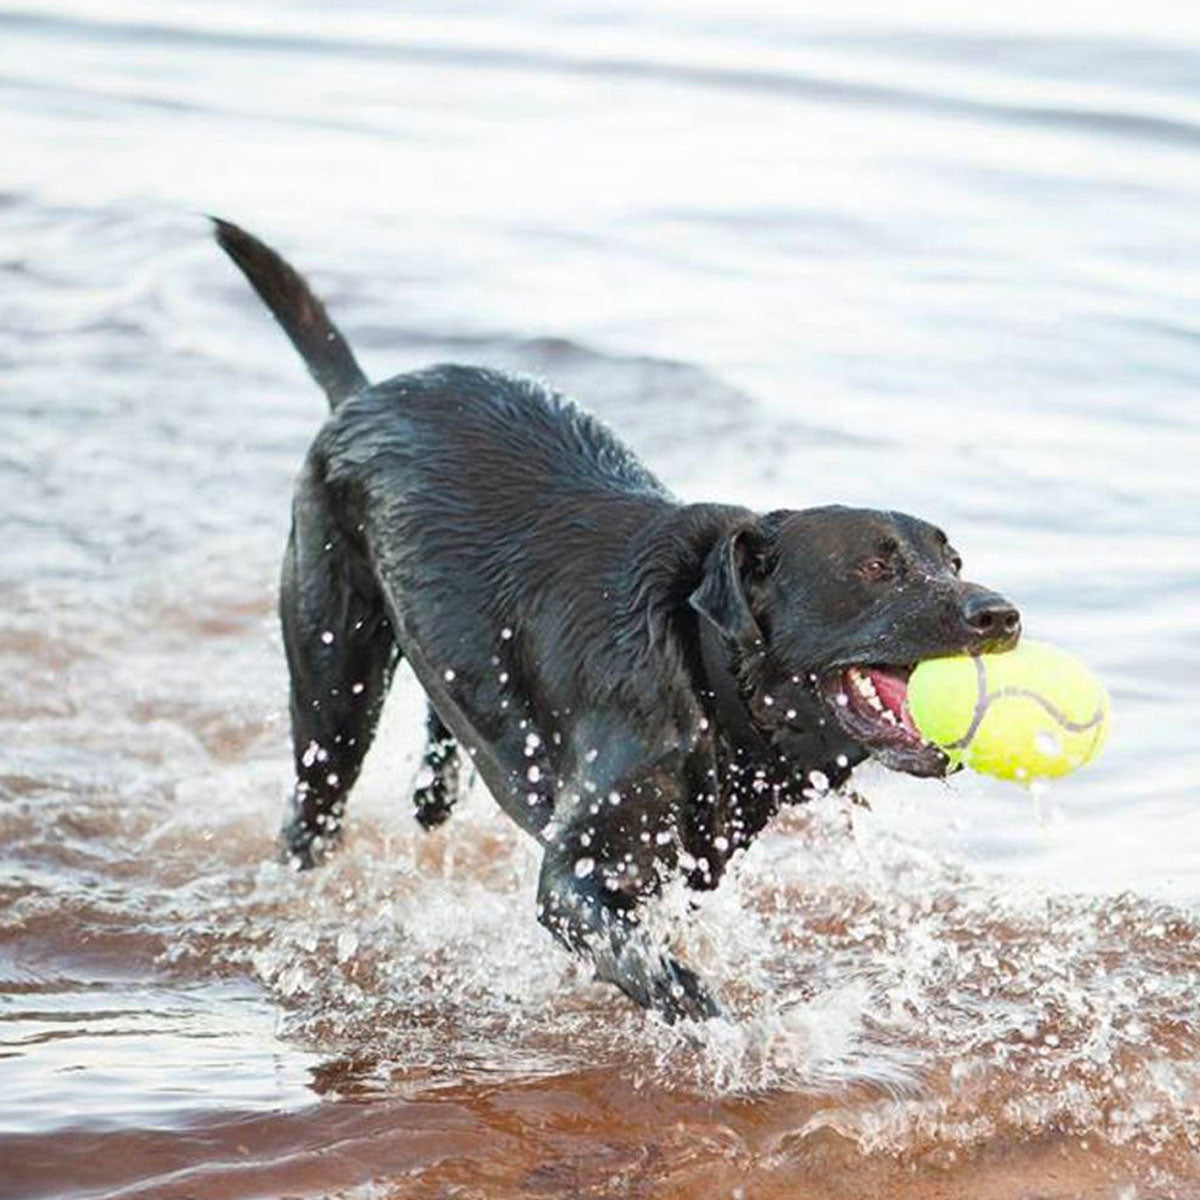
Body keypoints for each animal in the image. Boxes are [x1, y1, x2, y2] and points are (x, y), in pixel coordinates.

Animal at [216, 220, 1022, 1017]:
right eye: (875, 567)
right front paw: (728, 1030)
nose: (1002, 615)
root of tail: (361, 394)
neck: (704, 676)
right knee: (313, 804)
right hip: (334, 684)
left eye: (951, 560)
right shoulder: (576, 877)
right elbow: (667, 978)